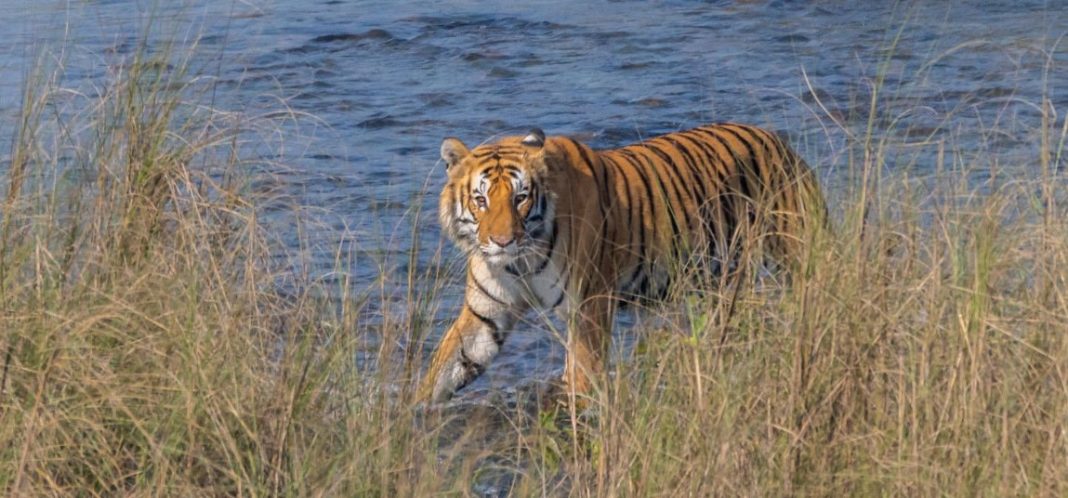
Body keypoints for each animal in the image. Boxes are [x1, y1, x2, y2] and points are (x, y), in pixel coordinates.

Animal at [417, 123, 827, 404]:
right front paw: (411, 416)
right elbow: (446, 366)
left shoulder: (589, 305)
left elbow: (582, 374)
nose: (502, 241)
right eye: (481, 200)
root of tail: (780, 143)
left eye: (521, 198)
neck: (520, 262)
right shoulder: (486, 313)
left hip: (798, 252)